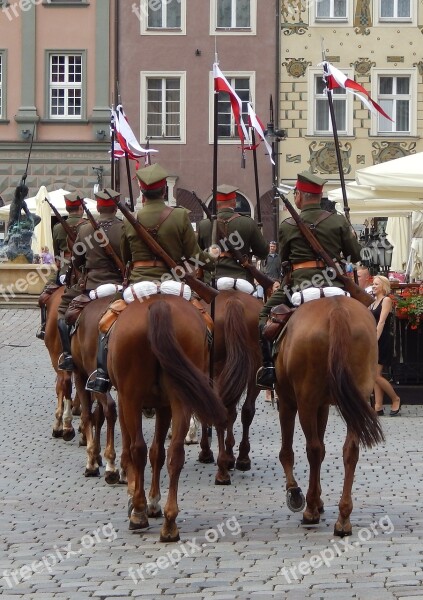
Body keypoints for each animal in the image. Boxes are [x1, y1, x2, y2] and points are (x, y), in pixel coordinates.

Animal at [108, 296, 229, 544]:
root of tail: (159, 305)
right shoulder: (164, 406)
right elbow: (158, 452)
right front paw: (154, 502)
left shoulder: (124, 399)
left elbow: (132, 450)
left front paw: (136, 498)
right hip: (180, 397)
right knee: (175, 453)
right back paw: (170, 522)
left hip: (131, 396)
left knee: (138, 449)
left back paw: (139, 512)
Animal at [198, 292, 262, 486]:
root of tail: (233, 300)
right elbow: (232, 414)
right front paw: (230, 455)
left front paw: (207, 452)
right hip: (255, 367)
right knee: (247, 410)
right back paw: (242, 458)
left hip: (219, 369)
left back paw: (222, 472)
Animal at [274, 298, 384, 536]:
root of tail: (337, 309)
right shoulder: (322, 406)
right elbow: (324, 449)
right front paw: (318, 499)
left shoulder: (287, 401)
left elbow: (287, 451)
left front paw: (296, 493)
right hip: (357, 398)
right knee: (350, 450)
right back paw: (343, 517)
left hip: (305, 401)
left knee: (313, 449)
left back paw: (310, 510)